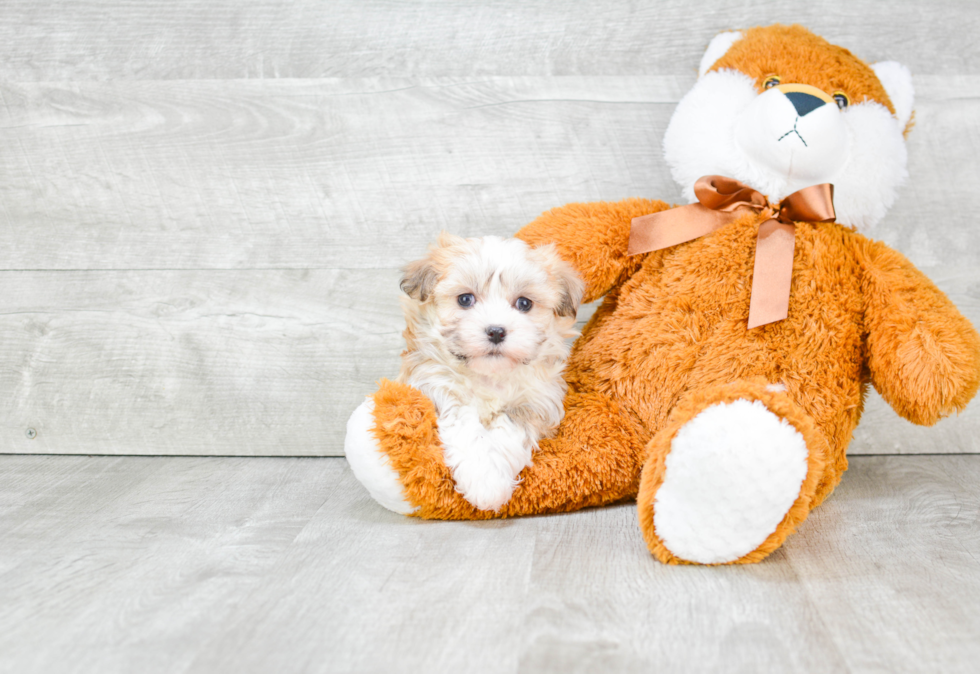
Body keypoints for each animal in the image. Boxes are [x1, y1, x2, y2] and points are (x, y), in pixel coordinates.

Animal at [396, 231, 580, 510]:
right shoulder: (436, 384)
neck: (489, 375)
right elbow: (464, 425)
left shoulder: (535, 400)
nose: (496, 331)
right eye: (465, 299)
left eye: (524, 303)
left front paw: (491, 484)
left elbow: (509, 427)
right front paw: (483, 480)